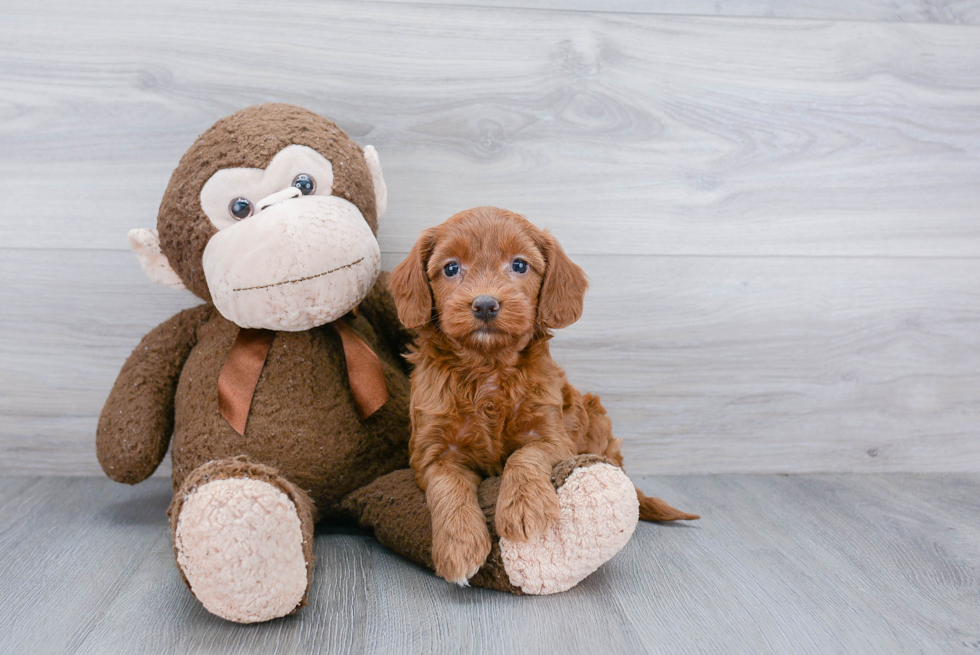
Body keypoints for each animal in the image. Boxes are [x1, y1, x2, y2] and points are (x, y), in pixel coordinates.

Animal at [390, 206, 696, 584]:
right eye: (450, 268)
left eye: (520, 265)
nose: (485, 305)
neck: (487, 367)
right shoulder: (434, 452)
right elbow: (448, 488)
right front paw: (459, 546)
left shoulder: (553, 435)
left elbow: (526, 455)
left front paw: (524, 509)